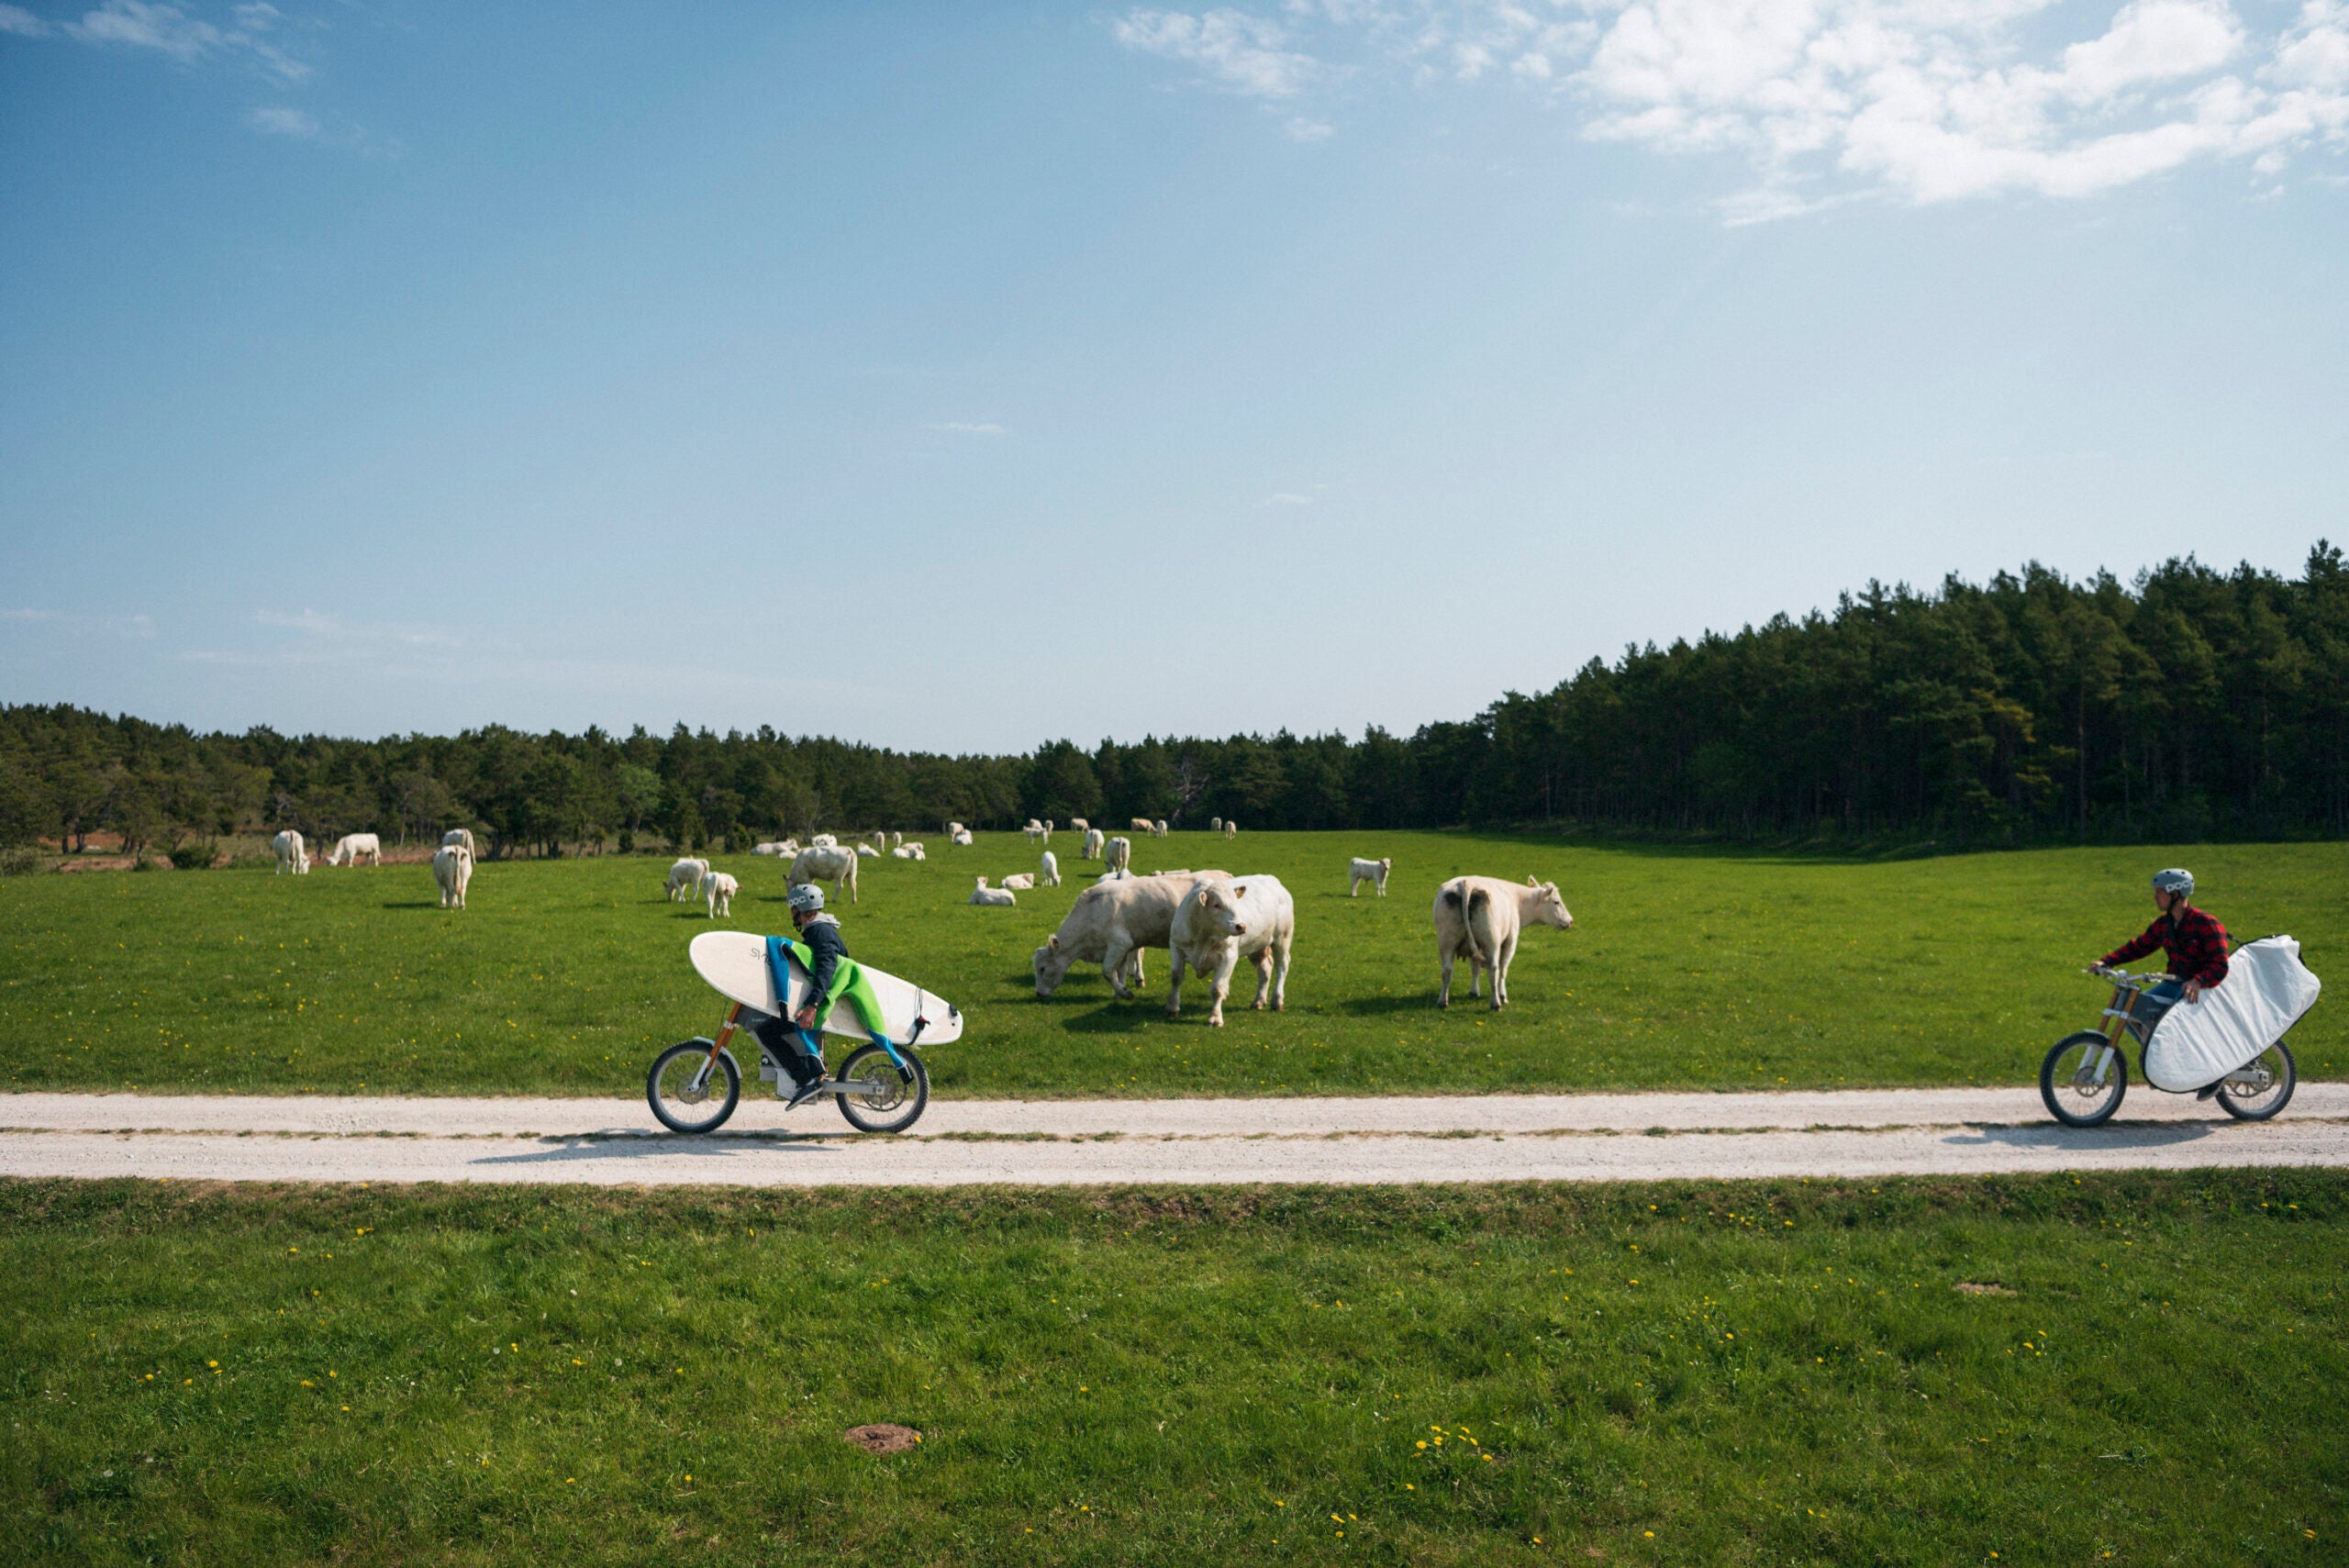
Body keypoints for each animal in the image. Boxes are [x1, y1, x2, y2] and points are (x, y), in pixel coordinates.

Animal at [1042, 863, 1240, 999]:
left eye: (1042, 968)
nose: (1039, 994)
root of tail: (1225, 874)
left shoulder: (1119, 943)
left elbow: (1108, 971)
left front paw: (1125, 991)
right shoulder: (1125, 945)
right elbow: (1120, 970)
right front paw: (1120, 991)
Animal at [1164, 868, 1297, 1028]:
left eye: (1236, 903)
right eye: (1216, 905)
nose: (1241, 926)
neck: (1203, 935)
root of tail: (1272, 879)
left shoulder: (1228, 957)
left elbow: (1217, 988)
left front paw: (1215, 1017)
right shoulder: (1176, 948)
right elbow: (1176, 978)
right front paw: (1172, 1008)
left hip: (1282, 939)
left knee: (1281, 966)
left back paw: (1277, 1000)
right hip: (1257, 945)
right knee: (1265, 968)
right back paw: (1259, 1000)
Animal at [1428, 877, 1578, 1009]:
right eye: (1556, 902)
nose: (1571, 920)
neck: (1517, 900)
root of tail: (1466, 883)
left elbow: (1475, 968)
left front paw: (1474, 992)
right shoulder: (1510, 941)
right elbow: (1503, 969)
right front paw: (1502, 995)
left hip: (1446, 941)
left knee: (1447, 970)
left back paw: (1442, 1001)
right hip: (1491, 942)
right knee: (1494, 969)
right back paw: (1496, 1003)